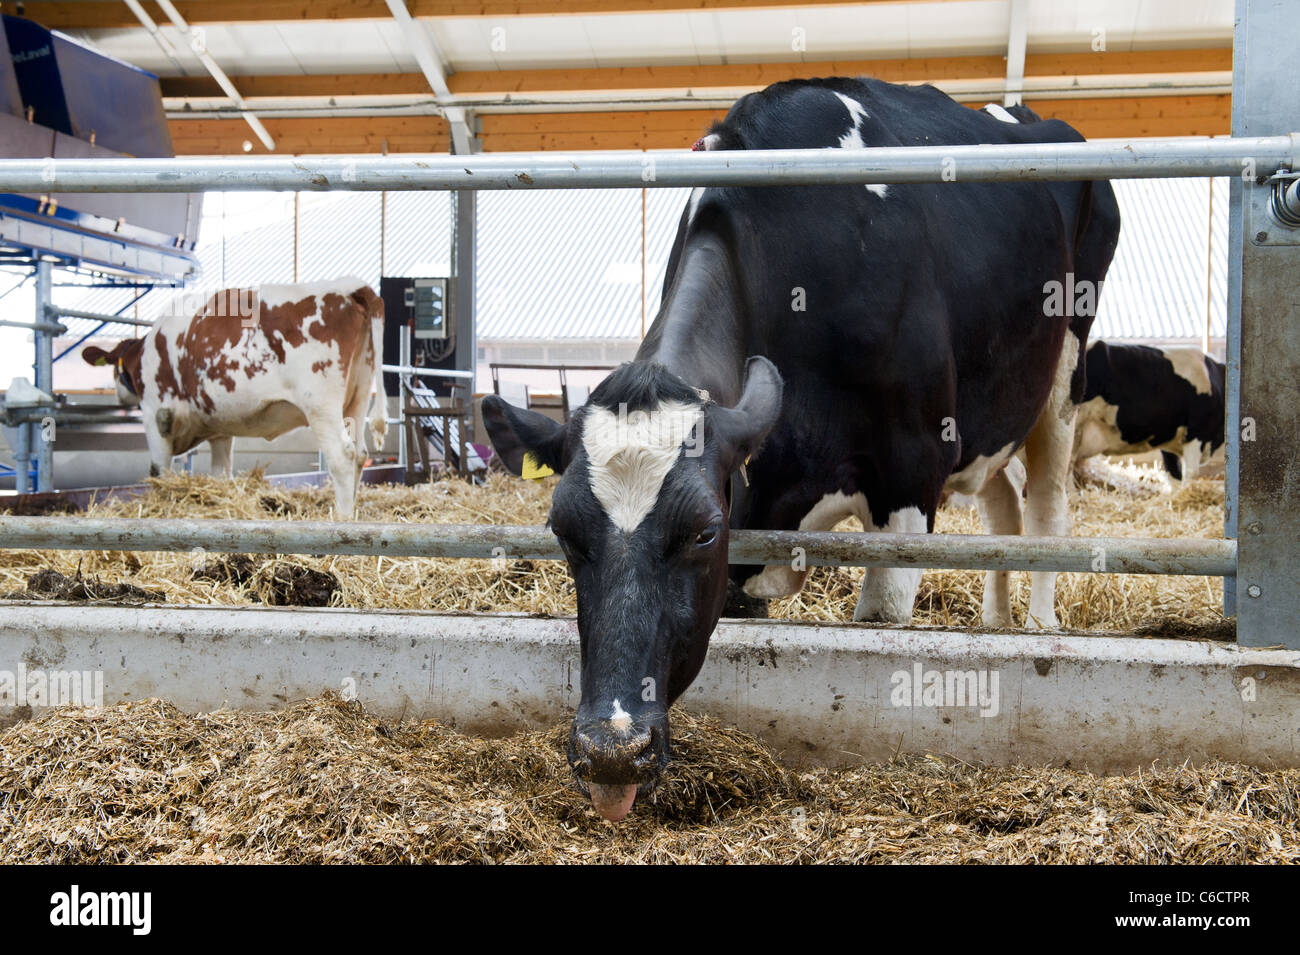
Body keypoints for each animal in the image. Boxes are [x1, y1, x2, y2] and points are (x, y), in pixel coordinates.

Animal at [81, 277, 387, 518]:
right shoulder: (220, 429)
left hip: (320, 404)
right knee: (360, 454)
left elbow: (159, 472)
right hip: (358, 396)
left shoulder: (156, 415)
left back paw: (342, 519)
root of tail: (350, 286)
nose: (117, 394)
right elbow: (221, 471)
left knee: (342, 456)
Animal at [481, 77, 1120, 821]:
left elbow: (881, 619)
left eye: (703, 530)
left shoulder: (911, 470)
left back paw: (1042, 624)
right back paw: (998, 625)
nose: (612, 752)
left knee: (1047, 507)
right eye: (561, 529)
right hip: (989, 417)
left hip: (1063, 372)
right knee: (1004, 506)